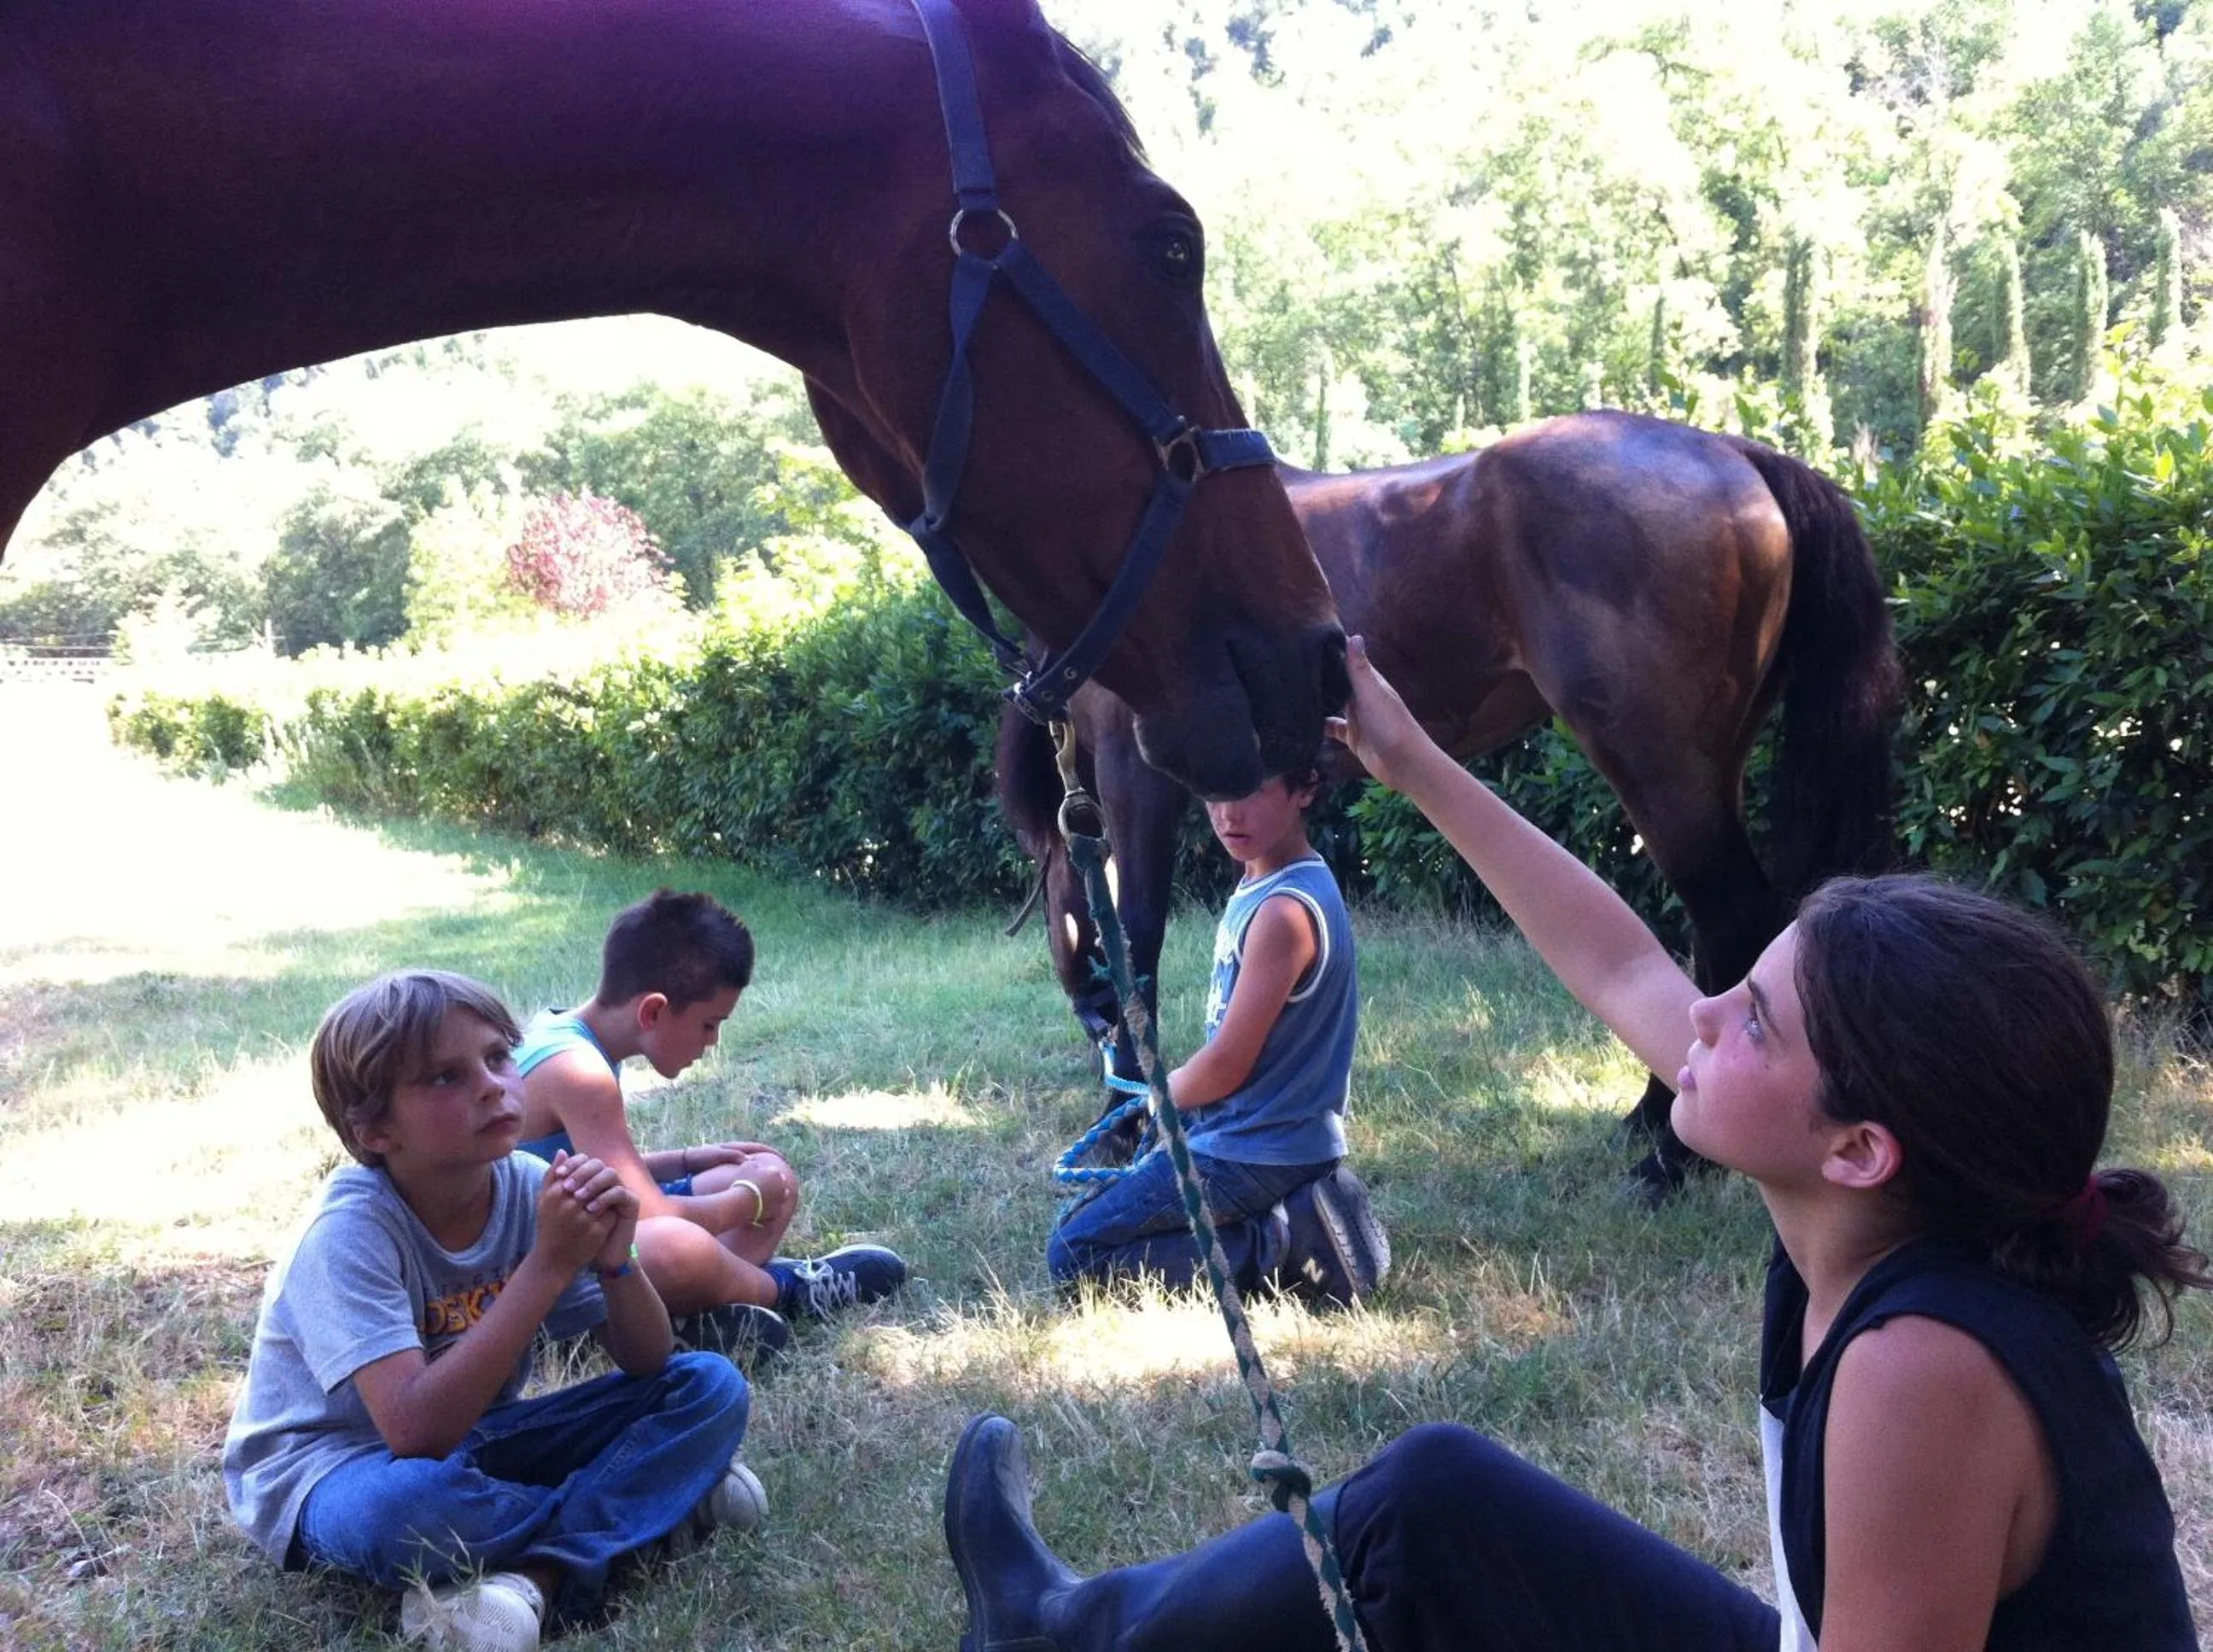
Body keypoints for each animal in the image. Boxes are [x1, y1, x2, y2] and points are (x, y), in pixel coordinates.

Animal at [1000, 410, 1903, 1198]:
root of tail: (1731, 450)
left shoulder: (1135, 776)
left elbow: (1137, 937)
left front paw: (1127, 1120)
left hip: (1661, 771)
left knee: (1732, 918)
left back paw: (1674, 1161)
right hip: (1710, 768)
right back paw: (1654, 1117)